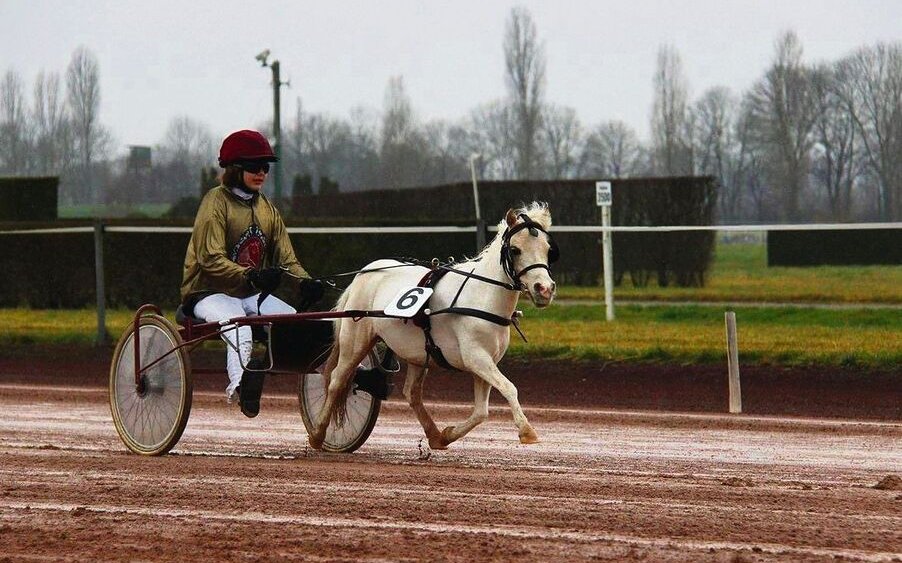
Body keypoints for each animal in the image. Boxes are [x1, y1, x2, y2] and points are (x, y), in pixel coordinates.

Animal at [310, 202, 556, 450]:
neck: (481, 295)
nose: (544, 289)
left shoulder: (487, 360)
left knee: (411, 393)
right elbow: (509, 388)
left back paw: (435, 434)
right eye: (515, 250)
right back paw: (318, 433)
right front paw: (527, 431)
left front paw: (447, 434)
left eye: (548, 249)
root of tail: (364, 273)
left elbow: (481, 412)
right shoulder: (476, 357)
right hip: (355, 340)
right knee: (337, 380)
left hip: (417, 352)